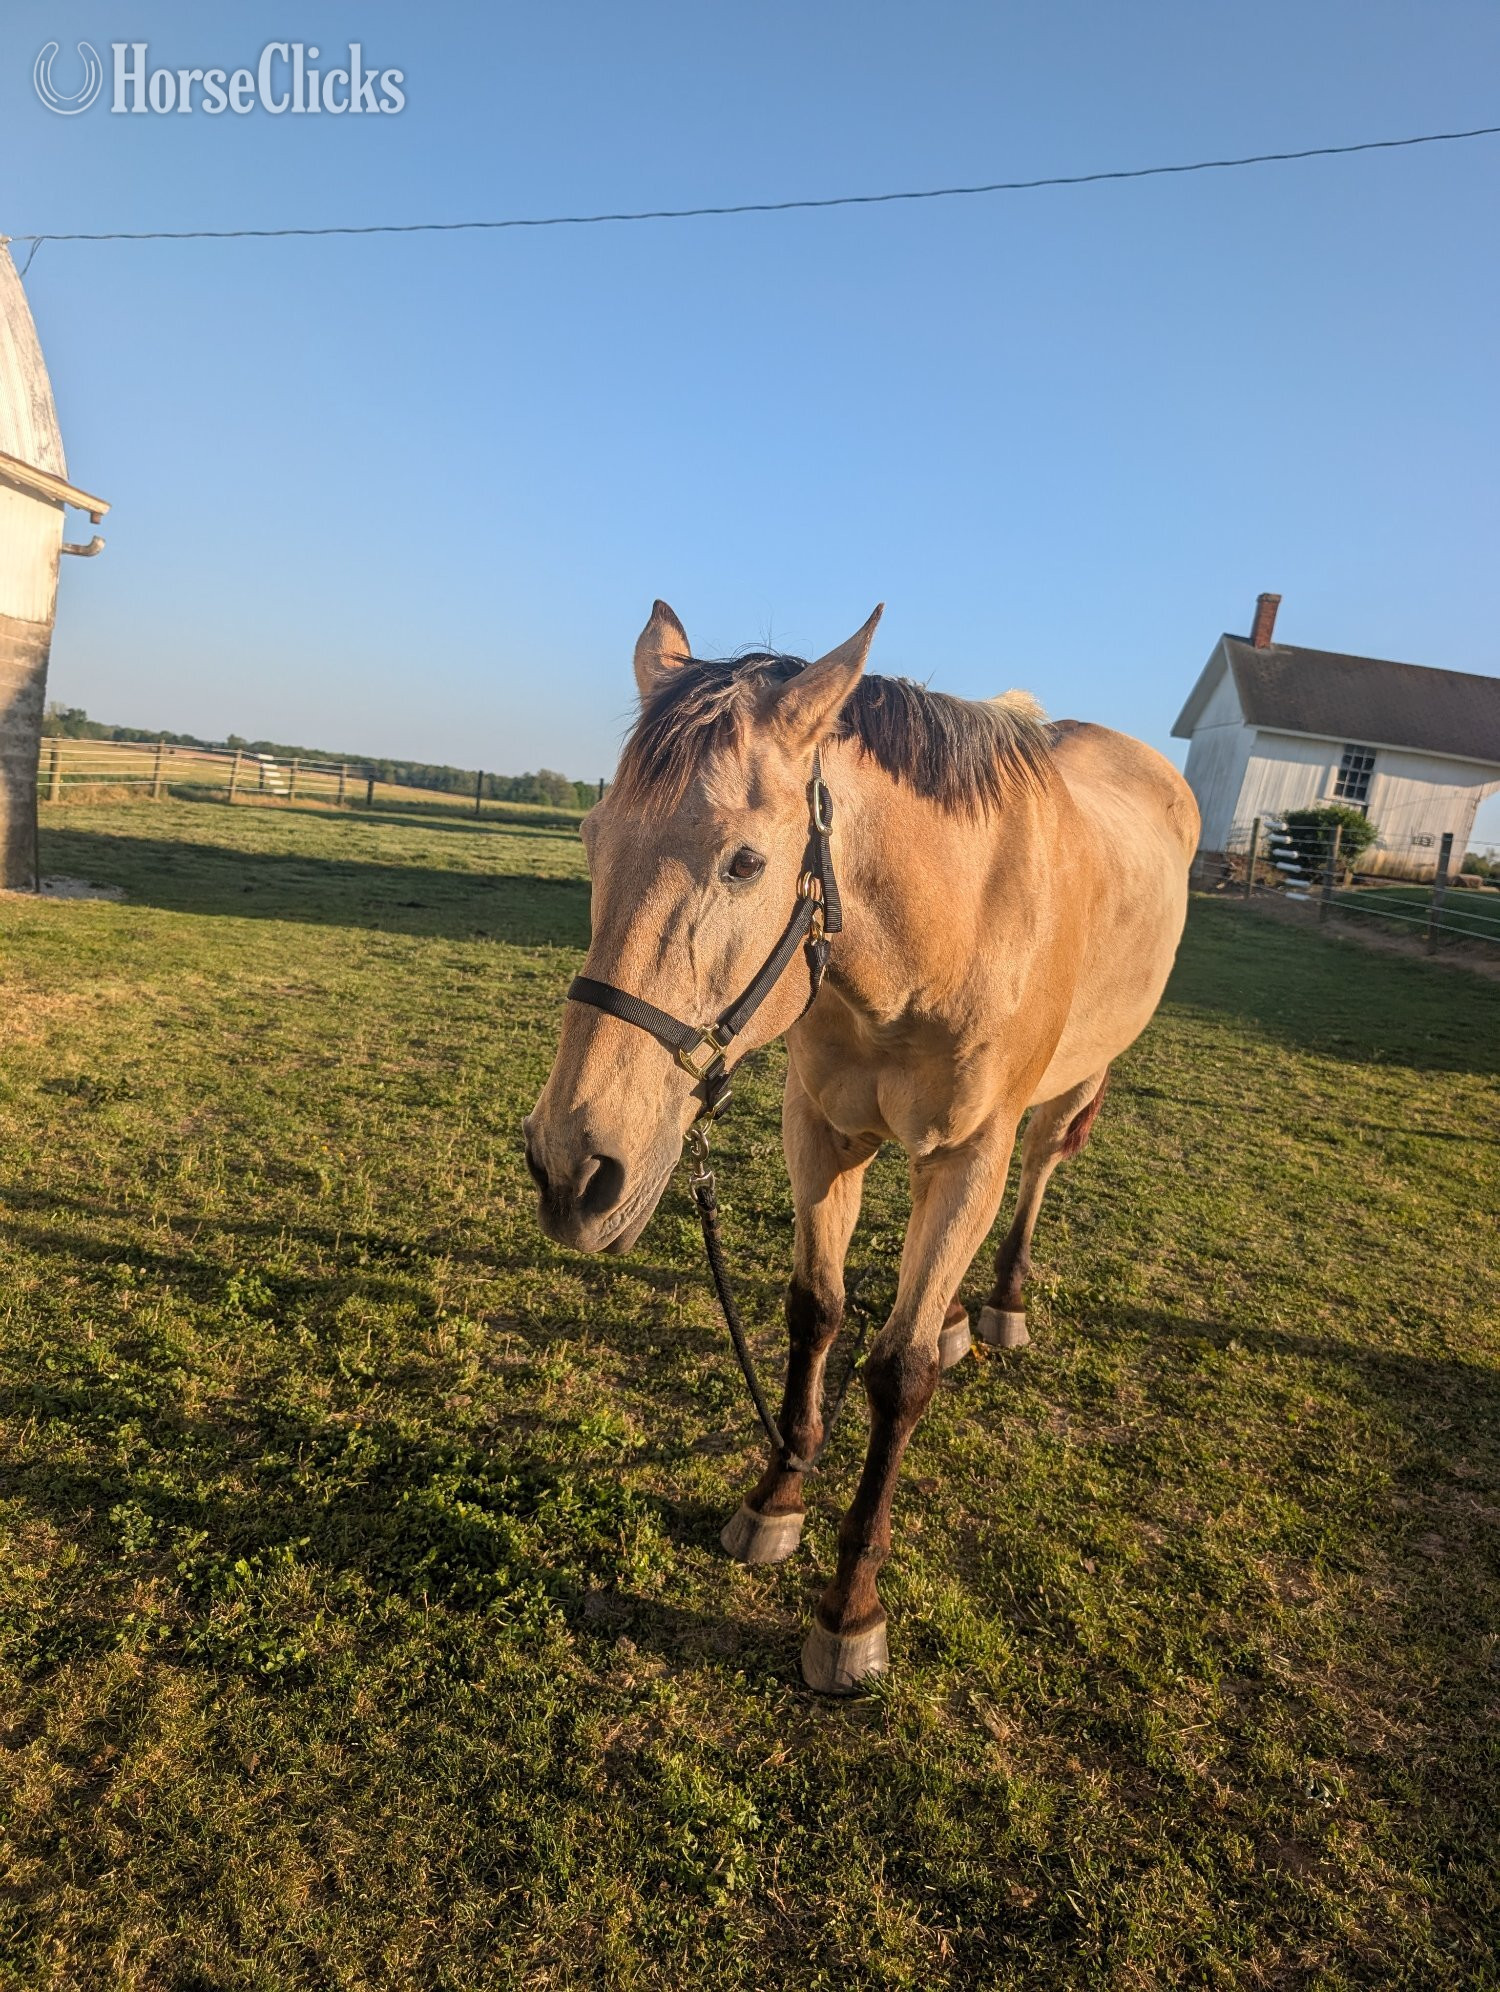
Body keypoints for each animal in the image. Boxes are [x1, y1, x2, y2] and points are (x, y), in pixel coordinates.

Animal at [524, 602, 1198, 1692]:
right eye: (592, 838)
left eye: (745, 863)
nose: (570, 1168)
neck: (939, 933)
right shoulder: (824, 1130)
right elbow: (817, 1311)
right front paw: (777, 1495)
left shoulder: (965, 1157)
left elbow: (899, 1373)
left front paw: (849, 1606)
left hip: (1068, 1089)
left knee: (1039, 1171)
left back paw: (1000, 1303)